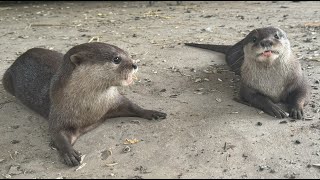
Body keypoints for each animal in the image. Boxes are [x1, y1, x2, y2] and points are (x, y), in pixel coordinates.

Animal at [1, 41, 168, 166]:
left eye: (127, 54)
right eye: (116, 59)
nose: (134, 65)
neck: (90, 108)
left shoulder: (113, 101)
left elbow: (131, 105)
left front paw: (152, 112)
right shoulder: (57, 112)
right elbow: (57, 133)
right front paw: (69, 153)